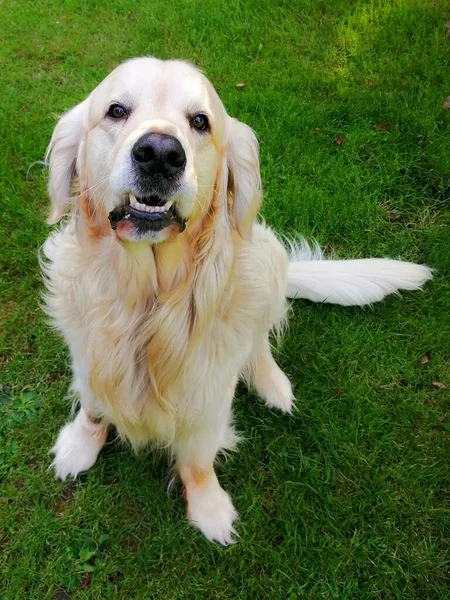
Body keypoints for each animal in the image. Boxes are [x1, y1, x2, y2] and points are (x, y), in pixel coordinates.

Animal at [43, 58, 432, 548]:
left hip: (266, 257)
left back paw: (273, 385)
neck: (147, 302)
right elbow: (94, 406)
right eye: (115, 110)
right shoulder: (87, 355)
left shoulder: (209, 394)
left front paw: (209, 509)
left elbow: (197, 459)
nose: (160, 154)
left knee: (259, 342)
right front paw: (80, 445)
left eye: (200, 122)